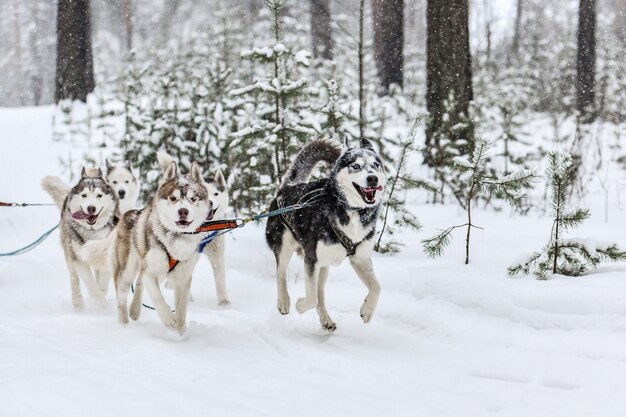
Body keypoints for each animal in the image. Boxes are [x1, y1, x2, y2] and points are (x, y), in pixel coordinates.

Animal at [42, 167, 120, 308]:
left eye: (99, 195)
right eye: (84, 195)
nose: (91, 208)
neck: (92, 232)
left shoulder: (106, 255)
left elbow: (102, 285)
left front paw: (101, 300)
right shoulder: (78, 259)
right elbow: (91, 284)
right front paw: (100, 302)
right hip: (69, 254)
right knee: (74, 278)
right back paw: (78, 303)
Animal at [112, 159, 210, 332]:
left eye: (193, 198)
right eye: (173, 198)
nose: (183, 211)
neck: (175, 238)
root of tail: (129, 214)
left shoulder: (183, 278)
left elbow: (182, 307)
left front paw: (181, 330)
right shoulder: (150, 273)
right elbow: (158, 297)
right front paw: (169, 319)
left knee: (139, 283)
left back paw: (135, 309)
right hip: (127, 271)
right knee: (122, 297)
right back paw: (124, 324)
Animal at [264, 138, 386, 330]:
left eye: (375, 165)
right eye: (356, 166)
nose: (372, 178)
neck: (351, 210)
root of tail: (288, 187)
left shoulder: (360, 258)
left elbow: (377, 287)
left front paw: (367, 310)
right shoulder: (311, 259)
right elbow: (311, 298)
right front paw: (300, 305)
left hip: (324, 266)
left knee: (320, 293)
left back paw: (326, 320)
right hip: (285, 245)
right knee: (281, 273)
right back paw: (284, 301)